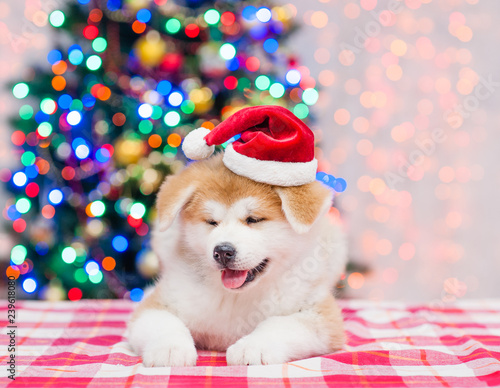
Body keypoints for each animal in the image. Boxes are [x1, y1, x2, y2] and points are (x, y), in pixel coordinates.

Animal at [128, 153, 348, 366]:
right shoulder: (161, 302)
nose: (223, 251)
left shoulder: (320, 316)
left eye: (253, 220)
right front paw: (169, 348)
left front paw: (254, 346)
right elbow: (164, 322)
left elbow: (280, 324)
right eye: (212, 222)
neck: (235, 297)